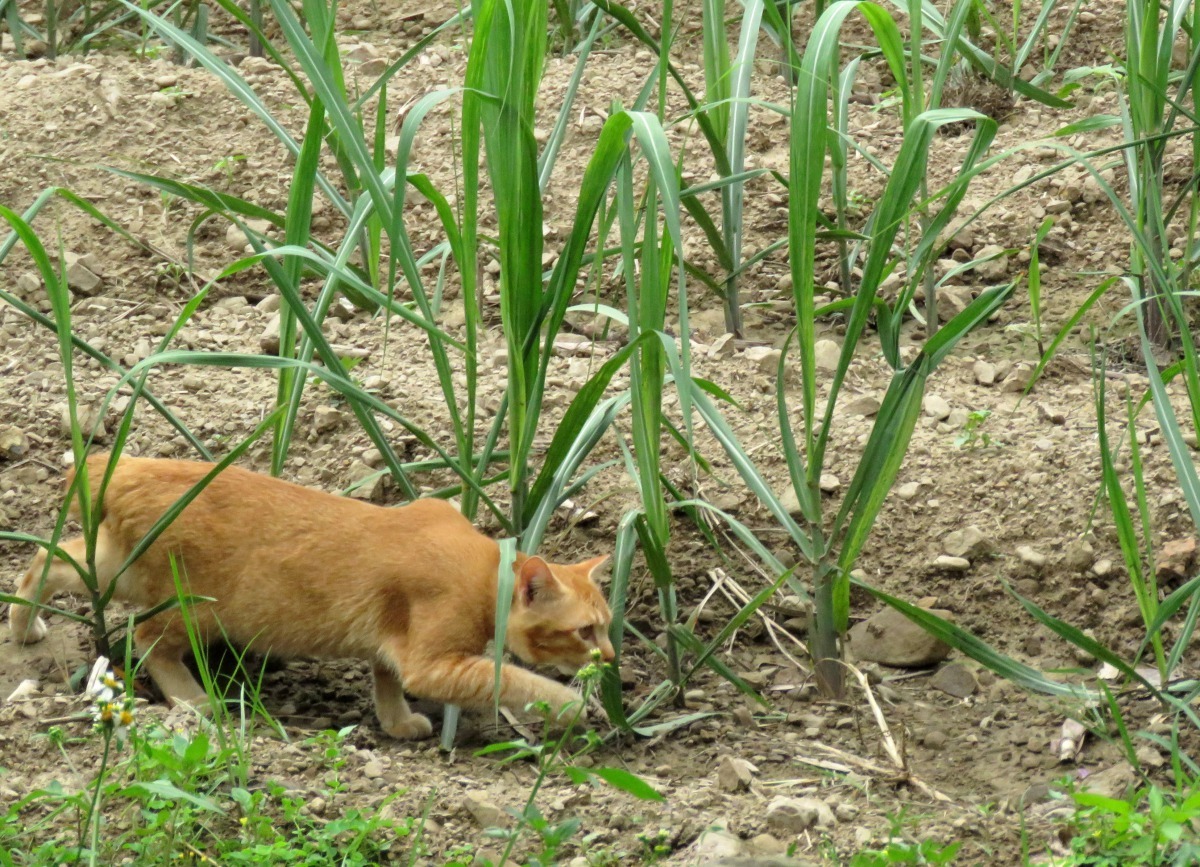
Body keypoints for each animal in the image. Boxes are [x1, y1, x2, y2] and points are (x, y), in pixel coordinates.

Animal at [7, 451, 609, 734]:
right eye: (584, 631)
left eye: (607, 627)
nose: (608, 657)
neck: (486, 567)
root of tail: (127, 466)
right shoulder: (435, 662)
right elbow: (515, 679)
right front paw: (575, 705)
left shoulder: (396, 648)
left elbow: (385, 679)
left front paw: (395, 723)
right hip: (198, 610)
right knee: (147, 636)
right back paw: (194, 700)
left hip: (117, 566)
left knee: (43, 561)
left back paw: (24, 626)